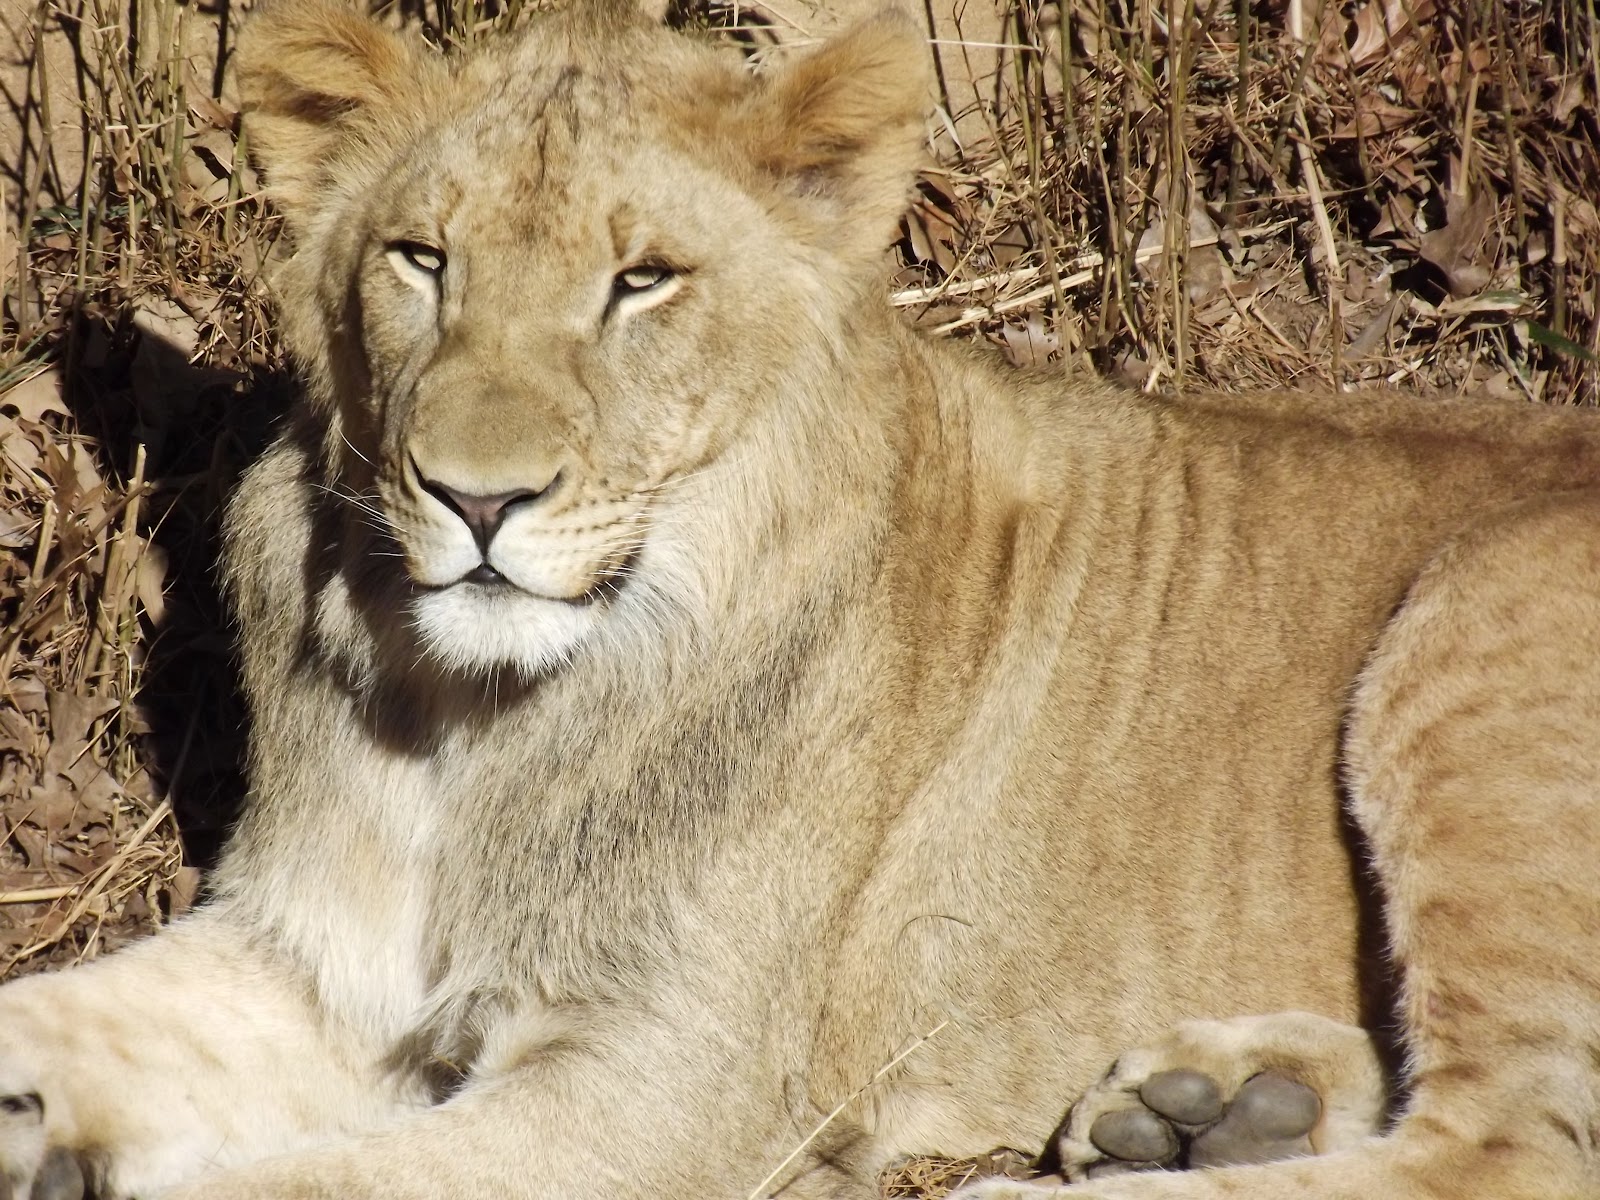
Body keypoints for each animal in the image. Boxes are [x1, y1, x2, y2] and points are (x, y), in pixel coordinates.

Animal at [1, 2, 1597, 1198]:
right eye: (422, 259)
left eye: (642, 281)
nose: (477, 499)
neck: (473, 719)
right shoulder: (319, 964)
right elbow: (67, 1017)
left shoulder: (663, 1084)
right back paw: (1217, 1105)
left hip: (1474, 634)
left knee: (1507, 1149)